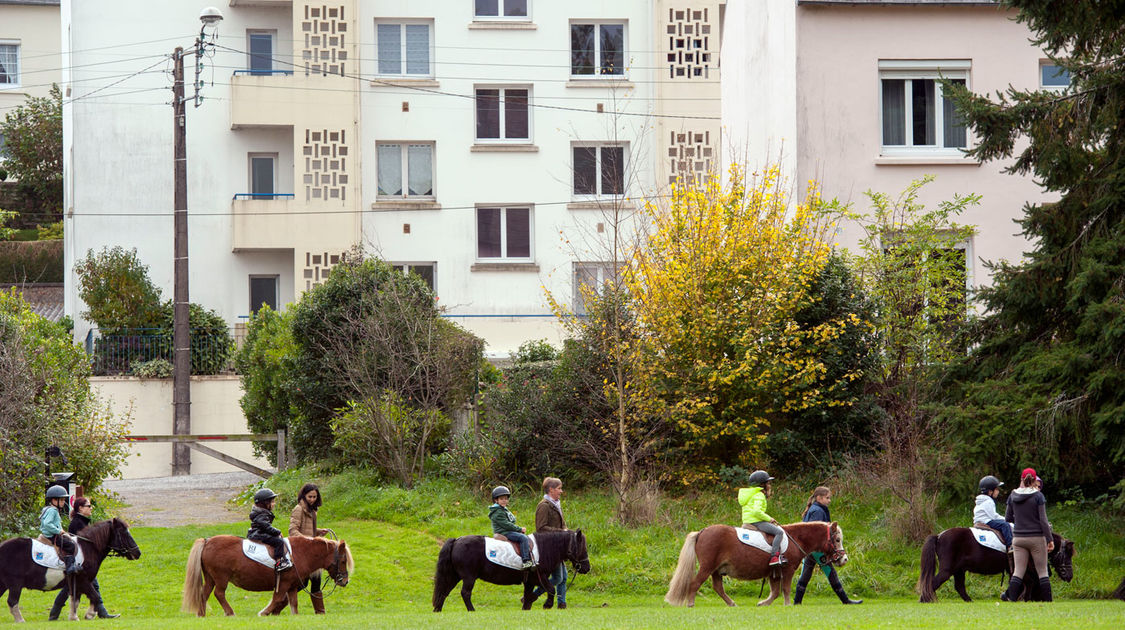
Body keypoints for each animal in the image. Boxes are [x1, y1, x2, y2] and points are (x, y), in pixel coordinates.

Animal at [0, 519, 139, 621]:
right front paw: (89, 614)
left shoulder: (75, 582)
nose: (138, 553)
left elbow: (76, 599)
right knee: (12, 602)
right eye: (124, 533)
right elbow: (95, 596)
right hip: (15, 584)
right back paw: (20, 621)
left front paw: (74, 617)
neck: (88, 548)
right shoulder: (83, 580)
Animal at [182, 533, 353, 616]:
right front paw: (264, 612)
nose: (344, 581)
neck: (300, 553)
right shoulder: (284, 583)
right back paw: (230, 612)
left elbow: (293, 603)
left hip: (210, 578)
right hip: (221, 577)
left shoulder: (292, 586)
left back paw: (201, 614)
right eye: (343, 560)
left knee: (204, 594)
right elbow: (277, 598)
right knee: (219, 593)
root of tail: (207, 541)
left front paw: (295, 616)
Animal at [429, 528, 594, 612]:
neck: (543, 548)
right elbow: (551, 589)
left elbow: (528, 595)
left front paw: (526, 607)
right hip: (469, 577)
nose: (586, 568)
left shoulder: (530, 581)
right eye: (582, 547)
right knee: (465, 593)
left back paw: (438, 609)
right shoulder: (539, 577)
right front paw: (547, 605)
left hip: (455, 575)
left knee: (444, 591)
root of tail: (457, 540)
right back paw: (472, 610)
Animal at [666, 522, 846, 607]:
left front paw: (763, 603)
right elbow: (785, 589)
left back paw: (731, 603)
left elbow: (775, 592)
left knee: (718, 588)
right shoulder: (787, 570)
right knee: (695, 583)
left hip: (716, 570)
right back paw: (691, 603)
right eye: (837, 540)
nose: (843, 559)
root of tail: (702, 531)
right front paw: (788, 605)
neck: (795, 538)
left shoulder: (774, 573)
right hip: (707, 567)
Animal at [913, 528, 1071, 603]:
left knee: (959, 587)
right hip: (948, 570)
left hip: (959, 570)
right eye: (1068, 554)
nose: (1069, 576)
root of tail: (939, 536)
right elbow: (1029, 583)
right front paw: (1021, 598)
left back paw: (970, 601)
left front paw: (1009, 596)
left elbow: (1021, 583)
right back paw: (924, 599)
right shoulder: (1021, 567)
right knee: (933, 583)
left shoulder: (1014, 569)